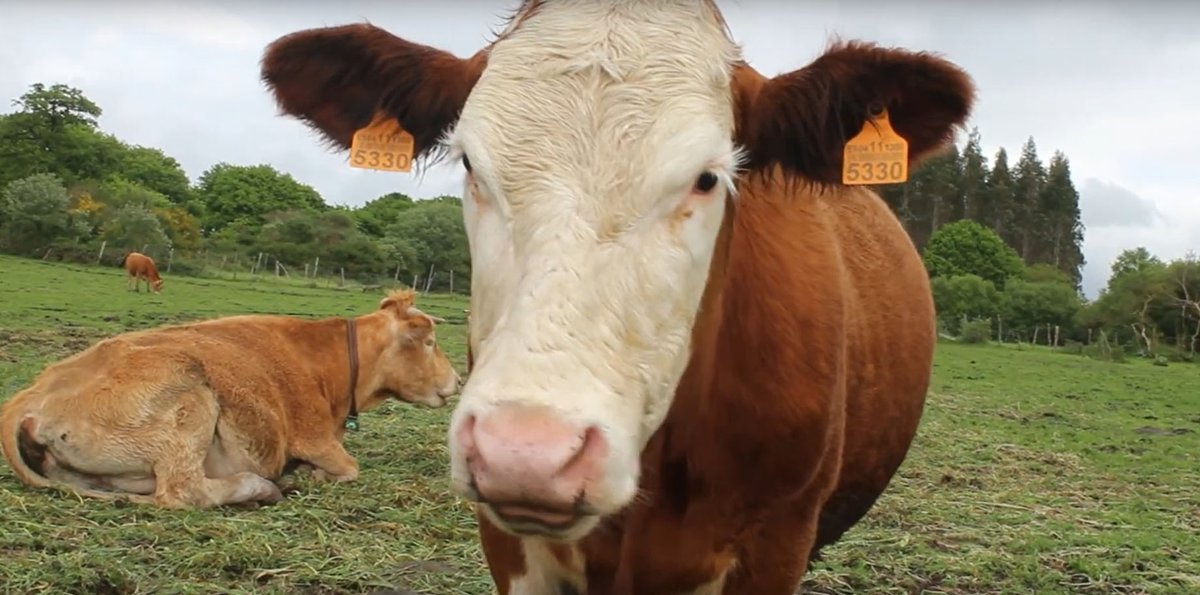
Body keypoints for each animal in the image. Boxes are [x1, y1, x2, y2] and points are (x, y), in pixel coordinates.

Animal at [0, 289, 461, 509]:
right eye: (431, 342)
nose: (457, 379)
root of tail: (32, 392)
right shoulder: (316, 438)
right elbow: (349, 469)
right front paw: (309, 476)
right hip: (192, 403)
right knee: (185, 492)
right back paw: (264, 487)